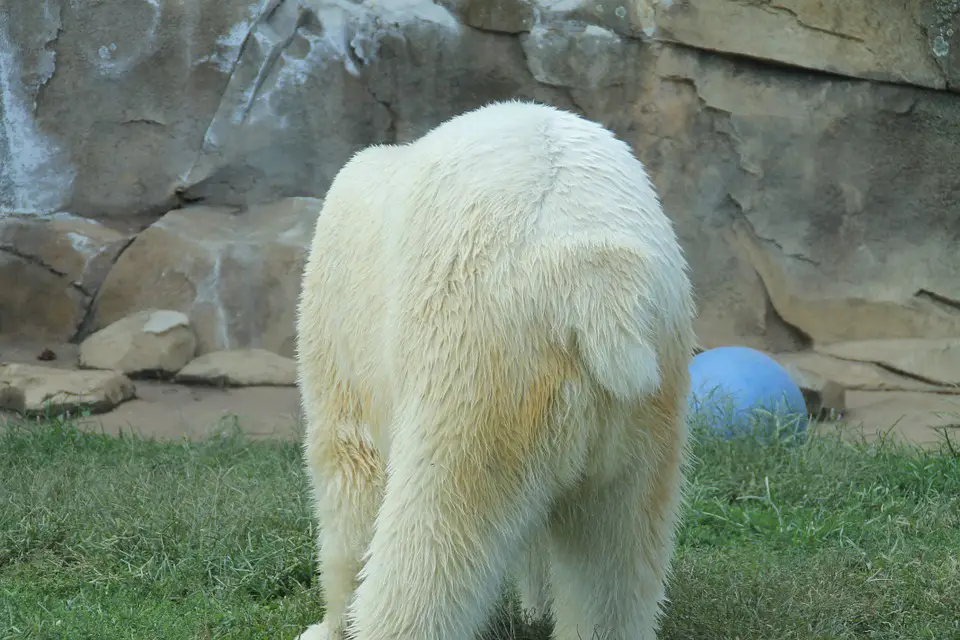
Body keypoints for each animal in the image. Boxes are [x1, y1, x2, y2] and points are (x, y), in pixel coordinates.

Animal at [296, 101, 692, 640]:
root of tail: (593, 279)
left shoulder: (341, 325)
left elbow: (350, 471)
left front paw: (327, 624)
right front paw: (535, 603)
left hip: (480, 367)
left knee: (436, 532)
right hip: (647, 396)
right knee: (614, 556)